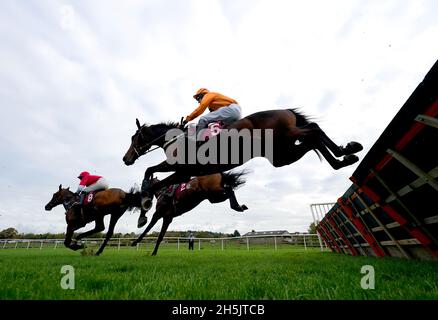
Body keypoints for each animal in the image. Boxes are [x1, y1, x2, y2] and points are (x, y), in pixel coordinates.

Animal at [123, 109, 362, 211]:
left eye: (134, 138)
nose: (126, 159)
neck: (178, 140)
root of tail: (285, 110)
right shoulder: (186, 173)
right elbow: (153, 173)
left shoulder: (182, 171)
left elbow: (151, 173)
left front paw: (144, 196)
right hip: (281, 155)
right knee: (312, 137)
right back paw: (345, 156)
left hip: (284, 140)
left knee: (313, 130)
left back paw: (346, 152)